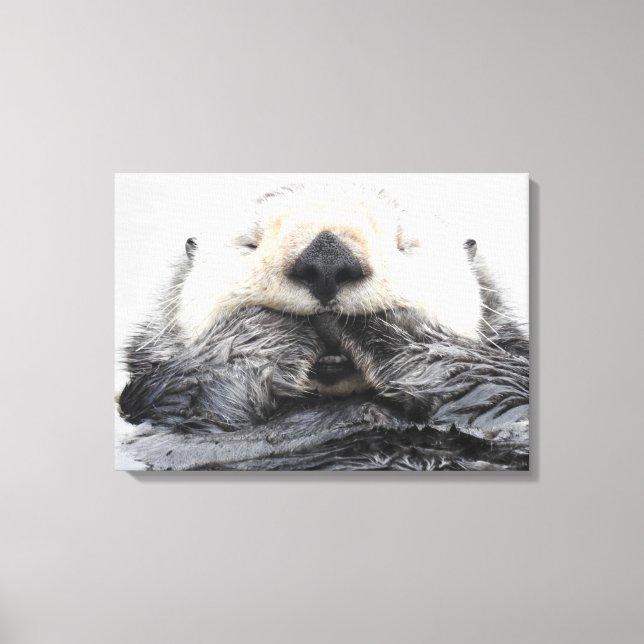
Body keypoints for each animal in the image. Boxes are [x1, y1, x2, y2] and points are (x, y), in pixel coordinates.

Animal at [118, 184, 529, 470]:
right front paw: (265, 328)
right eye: (249, 243)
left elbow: (508, 394)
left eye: (405, 245)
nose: (327, 259)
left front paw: (393, 325)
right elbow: (188, 397)